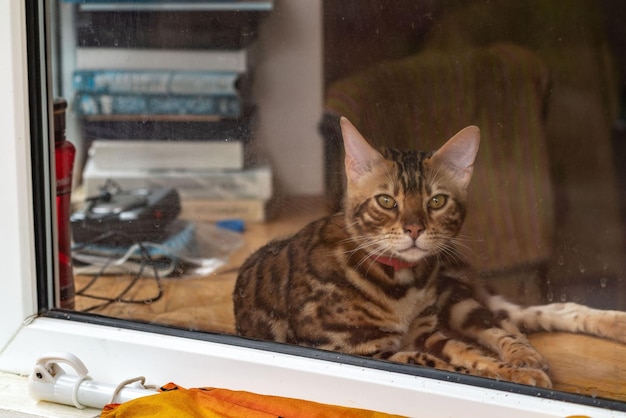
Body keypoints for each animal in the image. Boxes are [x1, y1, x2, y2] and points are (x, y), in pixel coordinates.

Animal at [233, 116, 624, 386]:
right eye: (386, 201)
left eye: (436, 201)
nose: (414, 229)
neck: (401, 283)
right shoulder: (362, 351)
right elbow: (448, 363)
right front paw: (509, 373)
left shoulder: (425, 330)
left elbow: (467, 352)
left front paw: (513, 370)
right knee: (522, 318)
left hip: (455, 299)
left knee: (515, 321)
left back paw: (542, 349)